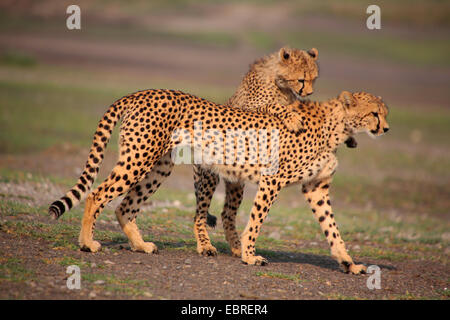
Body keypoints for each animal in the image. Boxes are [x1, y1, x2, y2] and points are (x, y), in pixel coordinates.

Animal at [47, 89, 388, 274]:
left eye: (384, 112)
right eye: (374, 113)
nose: (385, 128)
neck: (337, 128)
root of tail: (141, 93)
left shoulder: (316, 188)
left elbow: (333, 230)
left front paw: (350, 263)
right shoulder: (272, 180)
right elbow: (255, 221)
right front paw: (249, 255)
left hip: (159, 165)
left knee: (125, 206)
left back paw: (141, 245)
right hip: (139, 158)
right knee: (97, 194)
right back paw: (87, 243)